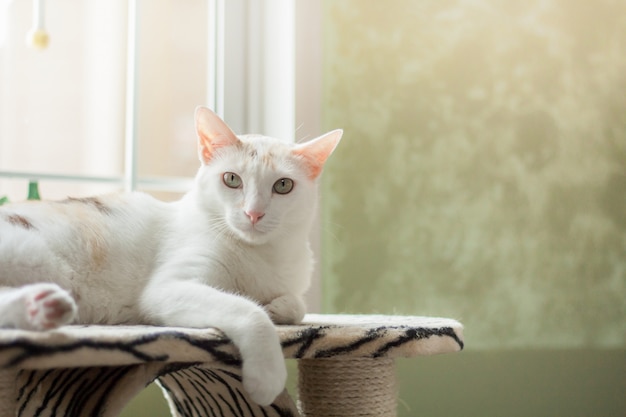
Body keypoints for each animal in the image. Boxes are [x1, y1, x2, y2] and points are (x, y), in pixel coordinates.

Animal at [0, 106, 342, 404]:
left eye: (283, 185)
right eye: (232, 179)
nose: (253, 213)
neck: (260, 254)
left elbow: (295, 306)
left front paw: (277, 307)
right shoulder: (169, 288)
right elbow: (248, 310)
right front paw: (266, 378)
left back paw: (43, 307)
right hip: (35, 256)